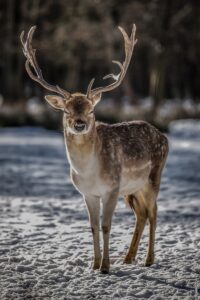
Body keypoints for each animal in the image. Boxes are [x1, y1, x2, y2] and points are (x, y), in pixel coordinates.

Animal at [20, 24, 169, 274]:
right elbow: (93, 226)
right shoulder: (87, 193)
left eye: (91, 110)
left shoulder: (111, 188)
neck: (89, 172)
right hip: (133, 188)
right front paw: (94, 264)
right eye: (66, 111)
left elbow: (107, 225)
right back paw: (128, 258)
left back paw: (148, 259)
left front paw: (106, 267)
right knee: (141, 214)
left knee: (154, 213)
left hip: (153, 177)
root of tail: (164, 136)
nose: (79, 123)